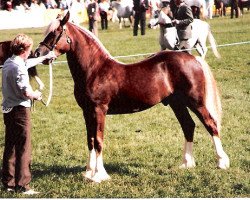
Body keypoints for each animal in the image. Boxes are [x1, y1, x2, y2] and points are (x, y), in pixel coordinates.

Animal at [34, 12, 229, 183]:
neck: (94, 70)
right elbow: (90, 140)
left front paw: (99, 175)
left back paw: (222, 162)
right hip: (177, 103)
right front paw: (89, 173)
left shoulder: (99, 111)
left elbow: (98, 140)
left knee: (210, 124)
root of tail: (194, 59)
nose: (37, 54)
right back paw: (187, 164)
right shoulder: (87, 112)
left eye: (56, 33)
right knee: (188, 126)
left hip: (196, 102)